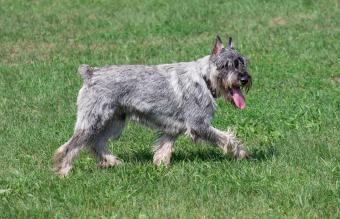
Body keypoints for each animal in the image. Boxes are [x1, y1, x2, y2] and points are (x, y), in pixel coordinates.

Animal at [53, 36, 252, 176]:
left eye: (242, 62)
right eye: (226, 65)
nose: (244, 79)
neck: (204, 78)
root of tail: (90, 74)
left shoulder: (174, 127)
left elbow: (165, 146)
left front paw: (160, 164)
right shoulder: (199, 124)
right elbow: (226, 138)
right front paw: (241, 152)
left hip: (114, 121)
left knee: (96, 143)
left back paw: (112, 162)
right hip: (94, 120)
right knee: (71, 146)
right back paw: (63, 171)